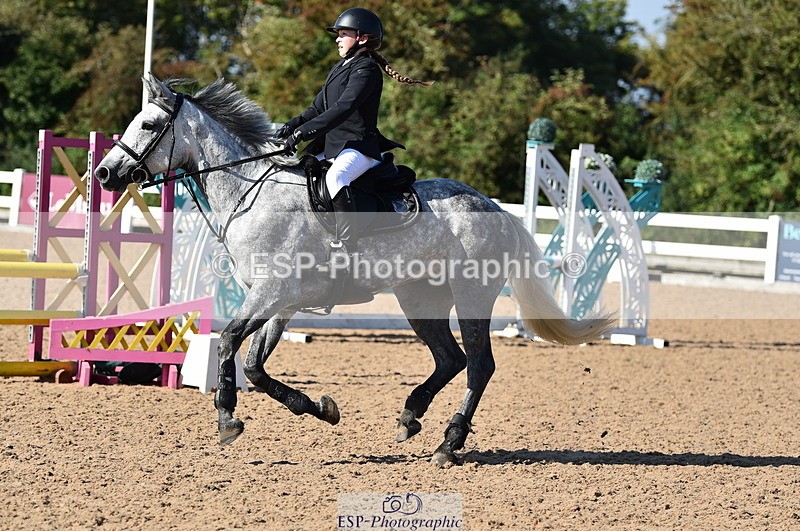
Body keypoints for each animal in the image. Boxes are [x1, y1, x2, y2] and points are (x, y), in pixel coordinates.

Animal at [95, 74, 613, 465]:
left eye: (148, 123)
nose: (103, 175)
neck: (251, 192)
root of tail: (495, 208)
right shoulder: (280, 300)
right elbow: (256, 366)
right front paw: (319, 408)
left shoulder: (269, 293)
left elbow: (228, 343)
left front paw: (227, 418)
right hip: (419, 299)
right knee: (451, 359)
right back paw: (410, 417)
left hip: (471, 296)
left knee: (479, 366)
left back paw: (449, 443)